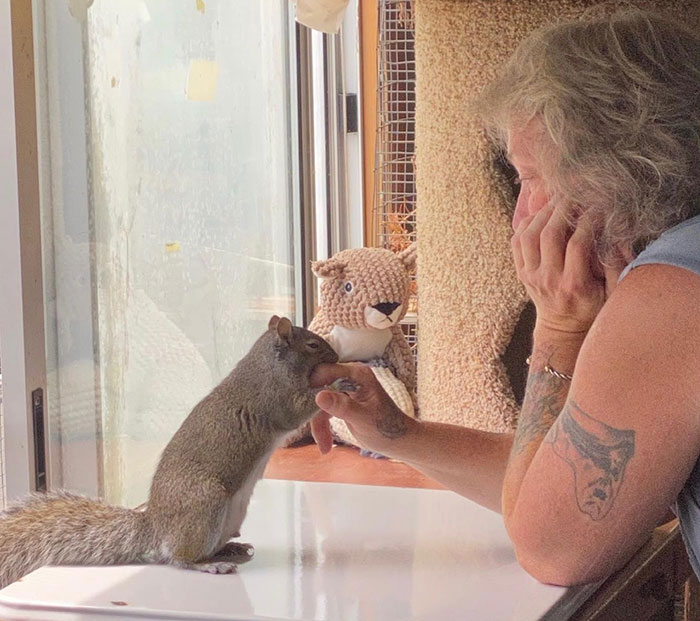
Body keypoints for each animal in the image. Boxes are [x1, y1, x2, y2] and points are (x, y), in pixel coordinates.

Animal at [0, 315, 339, 589]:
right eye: (312, 344)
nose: (336, 356)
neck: (267, 364)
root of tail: (155, 525)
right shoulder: (275, 398)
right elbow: (298, 409)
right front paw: (337, 383)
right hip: (205, 504)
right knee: (179, 557)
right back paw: (209, 564)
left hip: (232, 513)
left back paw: (229, 549)